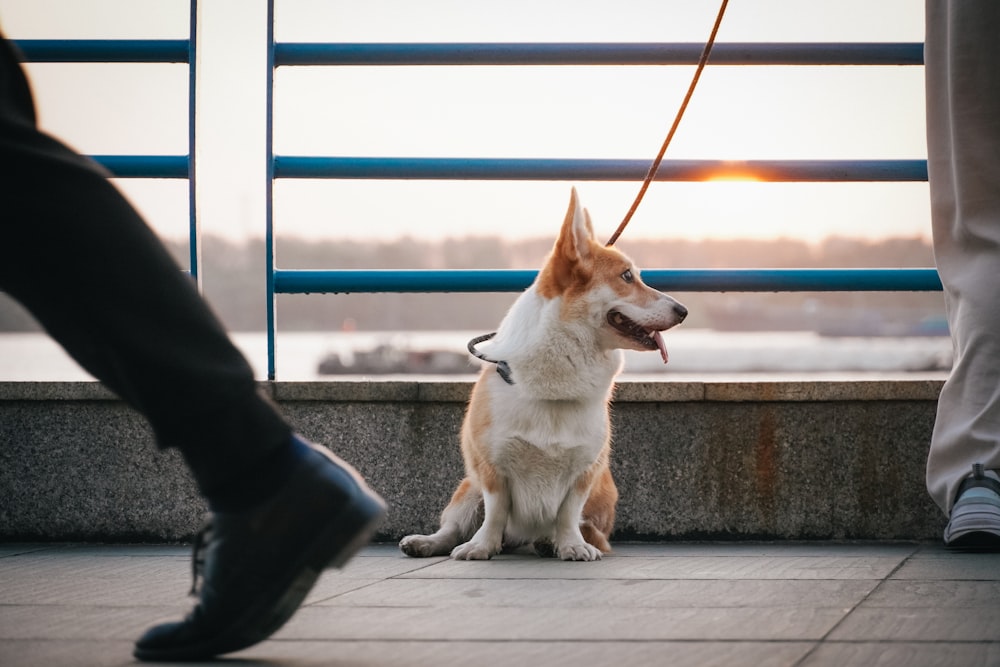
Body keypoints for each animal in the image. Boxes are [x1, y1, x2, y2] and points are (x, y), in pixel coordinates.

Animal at [398, 190, 688, 560]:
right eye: (626, 276)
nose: (683, 311)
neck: (556, 381)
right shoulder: (491, 468)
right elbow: (494, 512)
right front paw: (481, 546)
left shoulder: (585, 470)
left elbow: (567, 513)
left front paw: (570, 546)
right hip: (466, 489)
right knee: (453, 525)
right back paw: (426, 542)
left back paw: (547, 542)